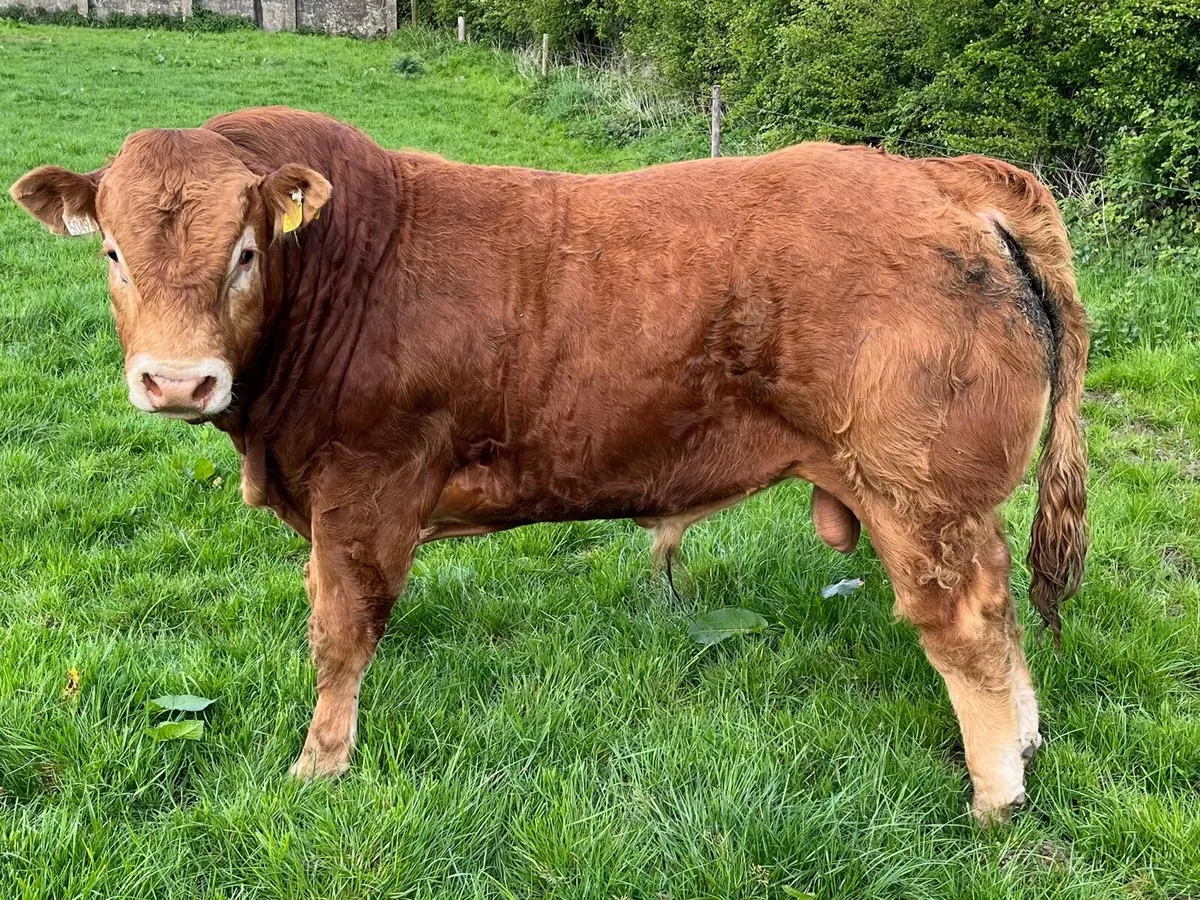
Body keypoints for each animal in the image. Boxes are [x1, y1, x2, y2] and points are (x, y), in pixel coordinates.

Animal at [11, 106, 1088, 823]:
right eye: (112, 252)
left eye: (242, 251)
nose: (177, 380)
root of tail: (941, 177)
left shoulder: (363, 488)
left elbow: (340, 633)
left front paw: (320, 767)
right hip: (955, 501)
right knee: (1001, 614)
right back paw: (1027, 743)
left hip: (921, 492)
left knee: (967, 627)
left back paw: (997, 796)